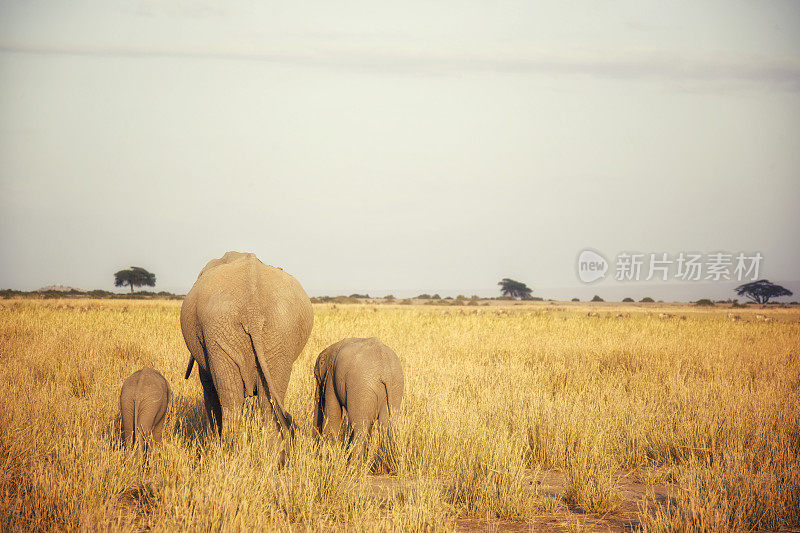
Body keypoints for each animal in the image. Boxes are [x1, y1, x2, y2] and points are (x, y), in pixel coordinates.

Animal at [183, 250, 314, 444]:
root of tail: (253, 309)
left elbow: (208, 386)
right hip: (278, 332)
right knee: (266, 403)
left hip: (222, 328)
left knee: (231, 401)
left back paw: (227, 448)